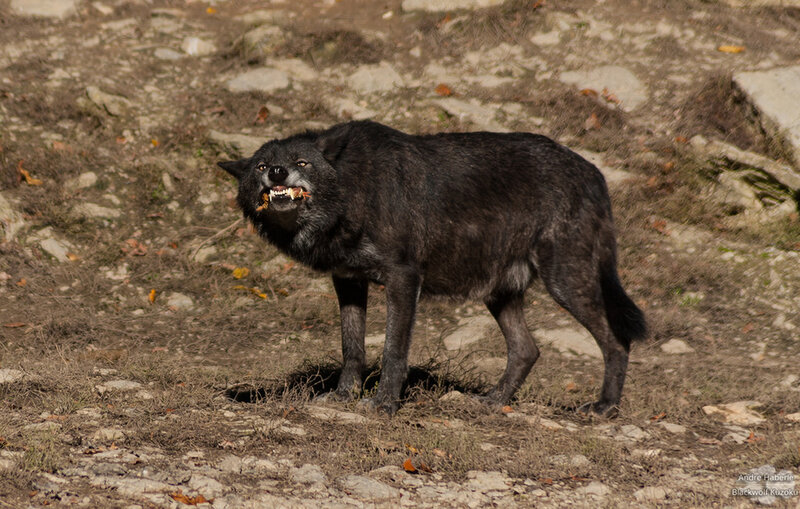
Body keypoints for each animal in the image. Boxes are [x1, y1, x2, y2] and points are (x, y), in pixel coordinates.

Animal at [218, 120, 646, 417]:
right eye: (261, 166)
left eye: (301, 162)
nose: (277, 173)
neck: (356, 189)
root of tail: (593, 172)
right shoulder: (348, 280)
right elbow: (351, 347)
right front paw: (343, 396)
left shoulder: (404, 278)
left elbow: (392, 350)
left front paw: (384, 405)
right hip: (500, 294)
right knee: (527, 350)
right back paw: (492, 401)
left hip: (565, 281)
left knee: (616, 341)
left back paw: (605, 408)